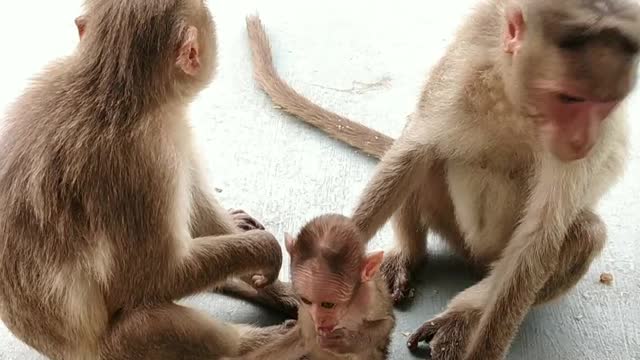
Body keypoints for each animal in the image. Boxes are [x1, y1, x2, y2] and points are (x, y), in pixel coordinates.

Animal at [225, 214, 396, 360]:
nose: (320, 319)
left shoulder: (370, 296)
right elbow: (302, 339)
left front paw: (348, 341)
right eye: (307, 301)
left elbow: (387, 322)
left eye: (328, 304)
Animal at [245, 1, 640, 358]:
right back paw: (409, 254)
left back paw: (464, 314)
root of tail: (474, 256)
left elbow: (539, 240)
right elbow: (413, 152)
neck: (518, 104)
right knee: (425, 153)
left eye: (605, 104)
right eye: (569, 98)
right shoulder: (467, 61)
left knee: (584, 233)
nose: (582, 141)